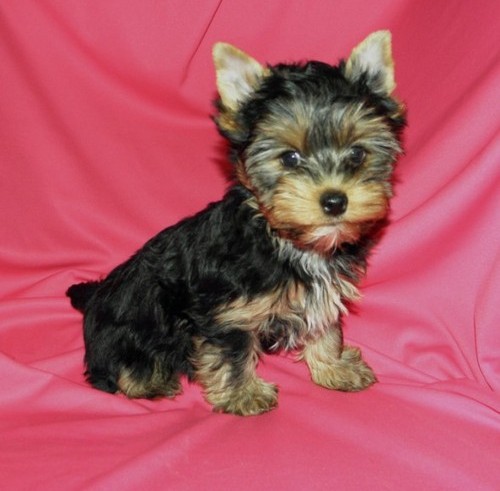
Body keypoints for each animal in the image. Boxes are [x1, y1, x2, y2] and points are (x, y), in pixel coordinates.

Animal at [68, 30, 406, 416]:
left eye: (358, 154)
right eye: (290, 158)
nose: (335, 201)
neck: (284, 238)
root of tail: (95, 301)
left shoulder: (320, 293)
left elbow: (325, 326)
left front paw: (333, 367)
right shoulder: (227, 312)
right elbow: (232, 353)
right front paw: (243, 395)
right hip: (132, 324)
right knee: (113, 369)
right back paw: (149, 379)